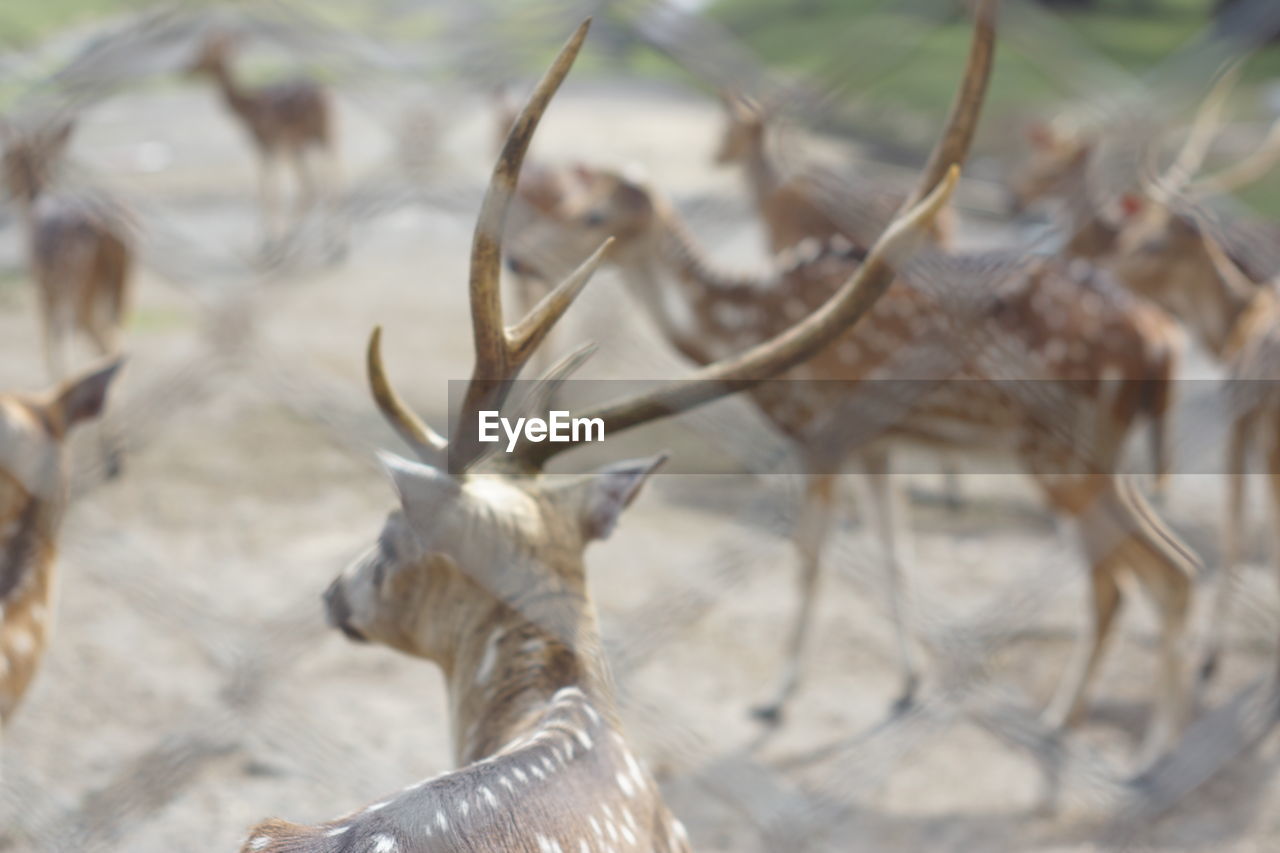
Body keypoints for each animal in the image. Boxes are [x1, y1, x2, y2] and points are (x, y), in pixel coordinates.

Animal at [0, 114, 132, 386]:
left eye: (7, 155)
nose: (5, 188)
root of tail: (106, 227)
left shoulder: (41, 285)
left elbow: (49, 343)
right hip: (121, 285)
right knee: (119, 339)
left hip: (76, 282)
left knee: (95, 340)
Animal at [188, 29, 340, 252]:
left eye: (205, 53)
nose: (188, 65)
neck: (248, 109)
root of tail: (327, 94)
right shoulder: (272, 145)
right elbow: (268, 186)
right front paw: (269, 236)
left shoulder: (264, 142)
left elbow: (266, 187)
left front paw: (267, 238)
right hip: (319, 137)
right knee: (318, 183)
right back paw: (321, 238)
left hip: (315, 136)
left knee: (326, 180)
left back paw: (326, 239)